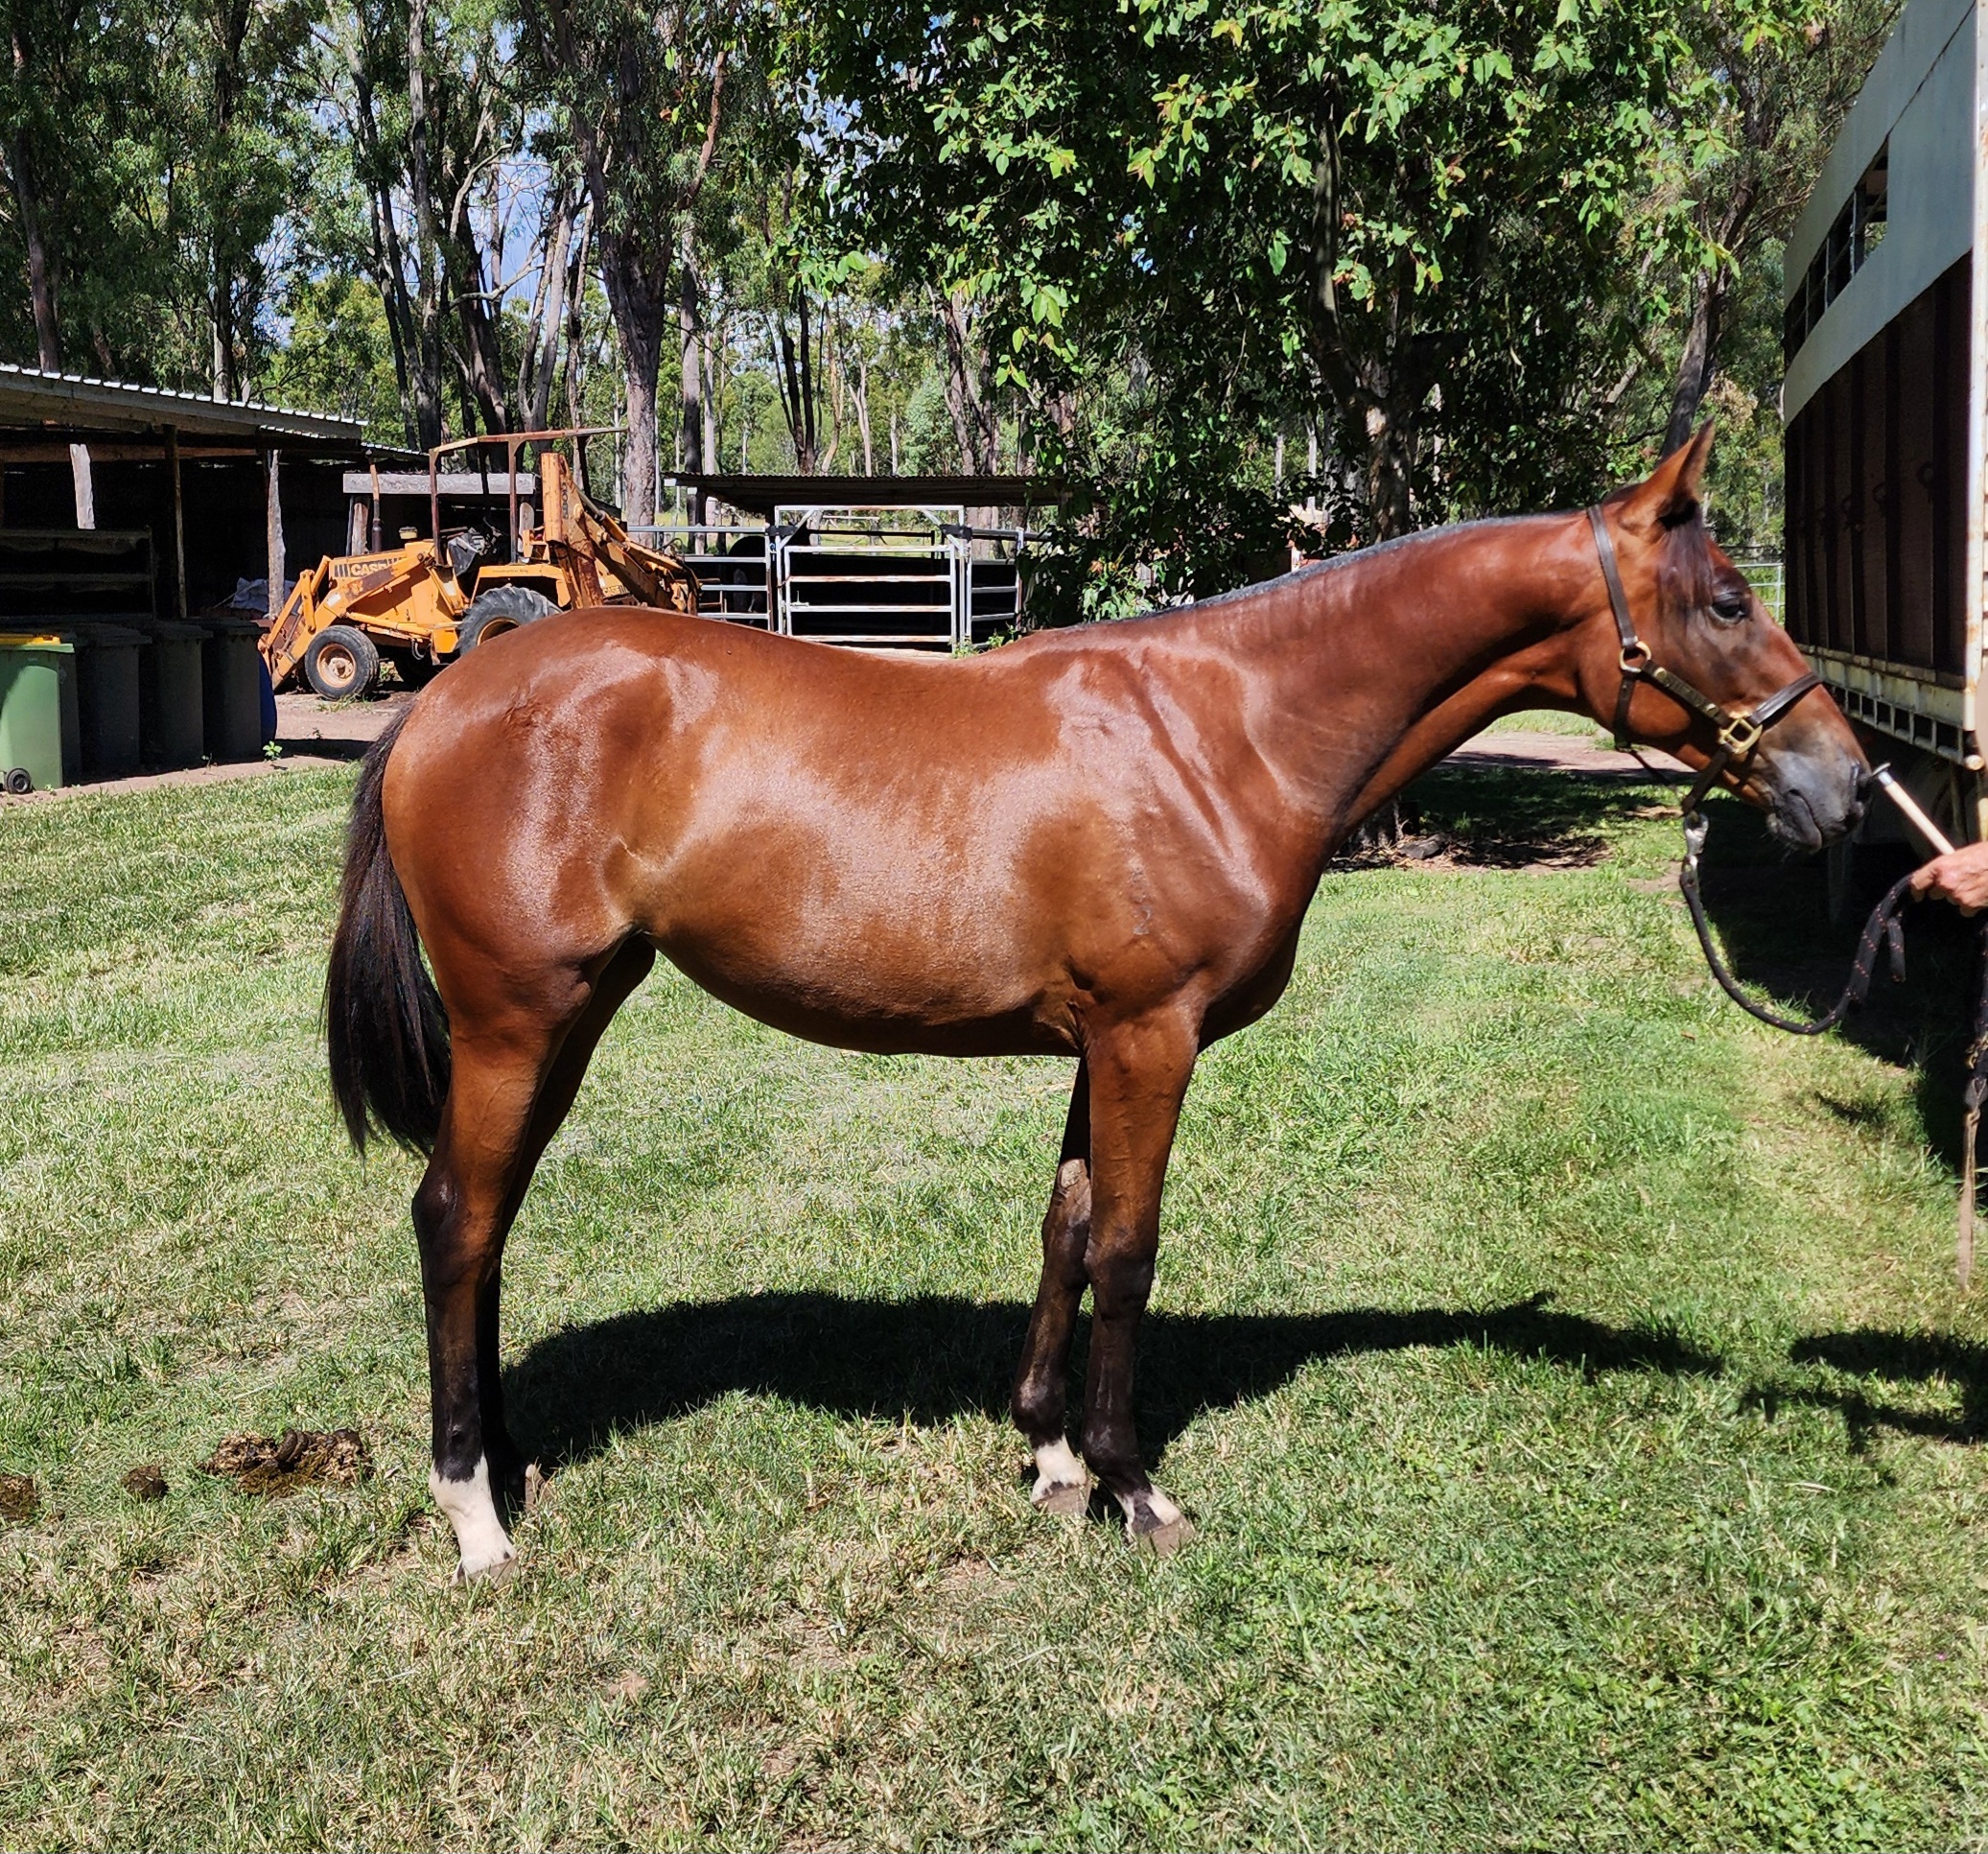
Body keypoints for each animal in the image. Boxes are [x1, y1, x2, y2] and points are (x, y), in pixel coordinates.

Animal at [326, 426, 1865, 1580]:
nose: (1844, 787)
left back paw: (507, 1460)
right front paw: (1135, 1489)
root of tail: (442, 701)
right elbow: (1127, 1252)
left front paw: (1054, 1457)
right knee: (454, 1217)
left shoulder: (1097, 1044)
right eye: (1727, 600)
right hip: (519, 1020)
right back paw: (472, 1513)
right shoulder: (1149, 1038)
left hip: (569, 1018)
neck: (1225, 729)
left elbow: (1064, 1228)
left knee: (490, 1222)